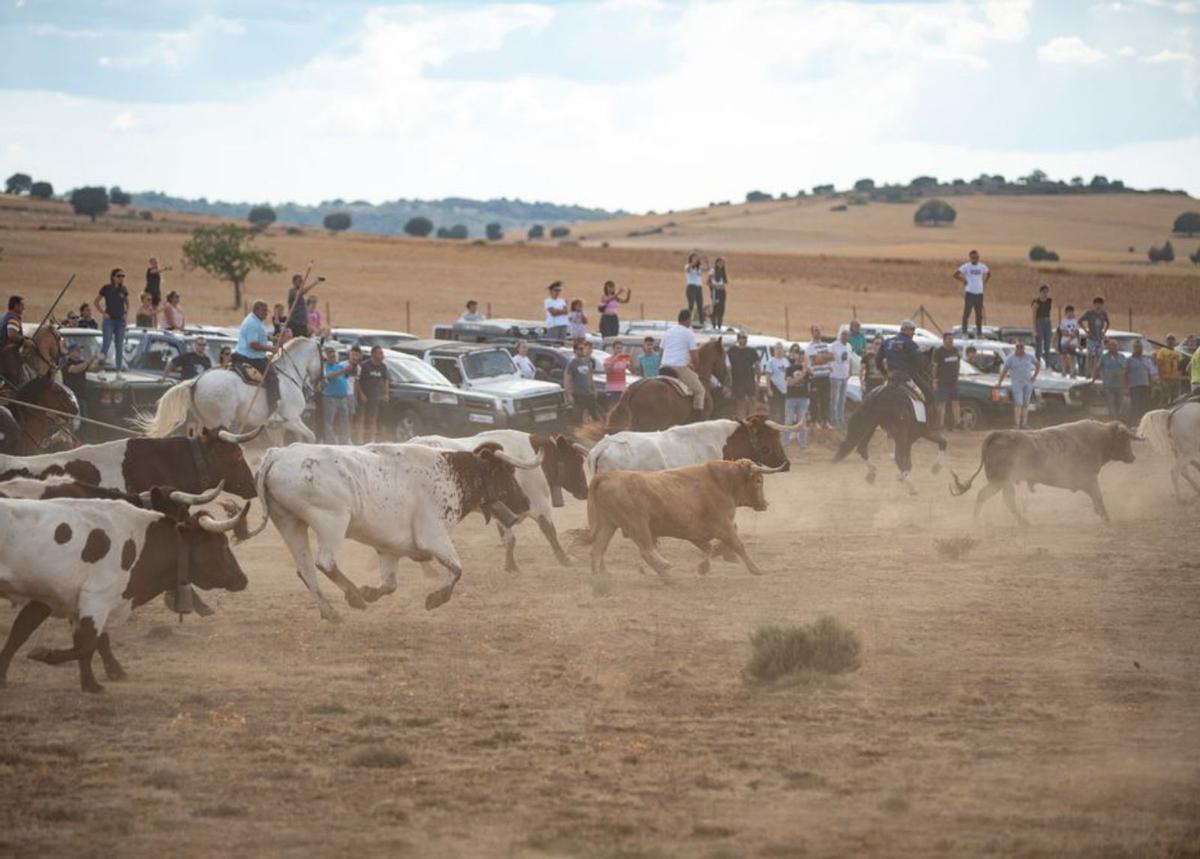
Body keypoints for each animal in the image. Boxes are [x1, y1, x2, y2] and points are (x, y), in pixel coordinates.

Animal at [137, 338, 324, 439]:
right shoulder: (292, 420)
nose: (323, 382)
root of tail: (195, 382)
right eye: (323, 358)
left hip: (204, 422)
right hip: (221, 421)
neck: (288, 374)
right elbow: (312, 436)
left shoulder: (274, 428)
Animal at [585, 460, 782, 580]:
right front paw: (756, 569)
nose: (765, 504)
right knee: (646, 551)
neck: (722, 483)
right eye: (758, 480)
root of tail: (606, 475)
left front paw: (704, 566)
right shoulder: (724, 526)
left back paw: (599, 576)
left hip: (608, 524)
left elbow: (710, 548)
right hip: (637, 524)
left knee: (597, 549)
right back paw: (667, 571)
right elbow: (738, 545)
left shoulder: (697, 532)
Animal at [950, 417, 1137, 523]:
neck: (1098, 439)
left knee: (997, 498)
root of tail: (997, 434)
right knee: (996, 498)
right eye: (1124, 439)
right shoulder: (1090, 479)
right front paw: (1106, 518)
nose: (1133, 457)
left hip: (1001, 482)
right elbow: (1098, 497)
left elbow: (1097, 499)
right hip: (1000, 481)